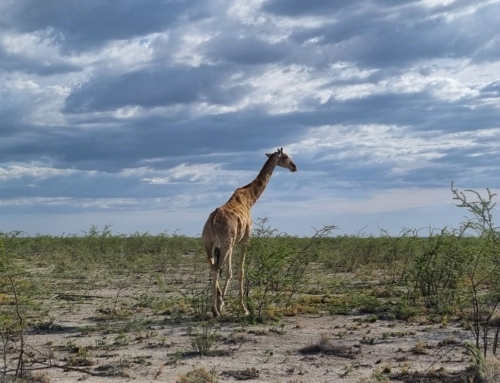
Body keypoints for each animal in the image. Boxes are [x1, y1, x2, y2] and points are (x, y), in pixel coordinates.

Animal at [202, 148, 296, 318]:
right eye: (285, 157)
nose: (294, 167)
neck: (250, 200)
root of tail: (212, 220)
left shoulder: (233, 243)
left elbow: (229, 272)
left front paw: (222, 302)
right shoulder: (246, 239)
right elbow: (241, 271)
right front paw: (243, 308)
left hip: (209, 242)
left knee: (212, 267)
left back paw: (216, 306)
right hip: (224, 242)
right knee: (216, 269)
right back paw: (214, 311)